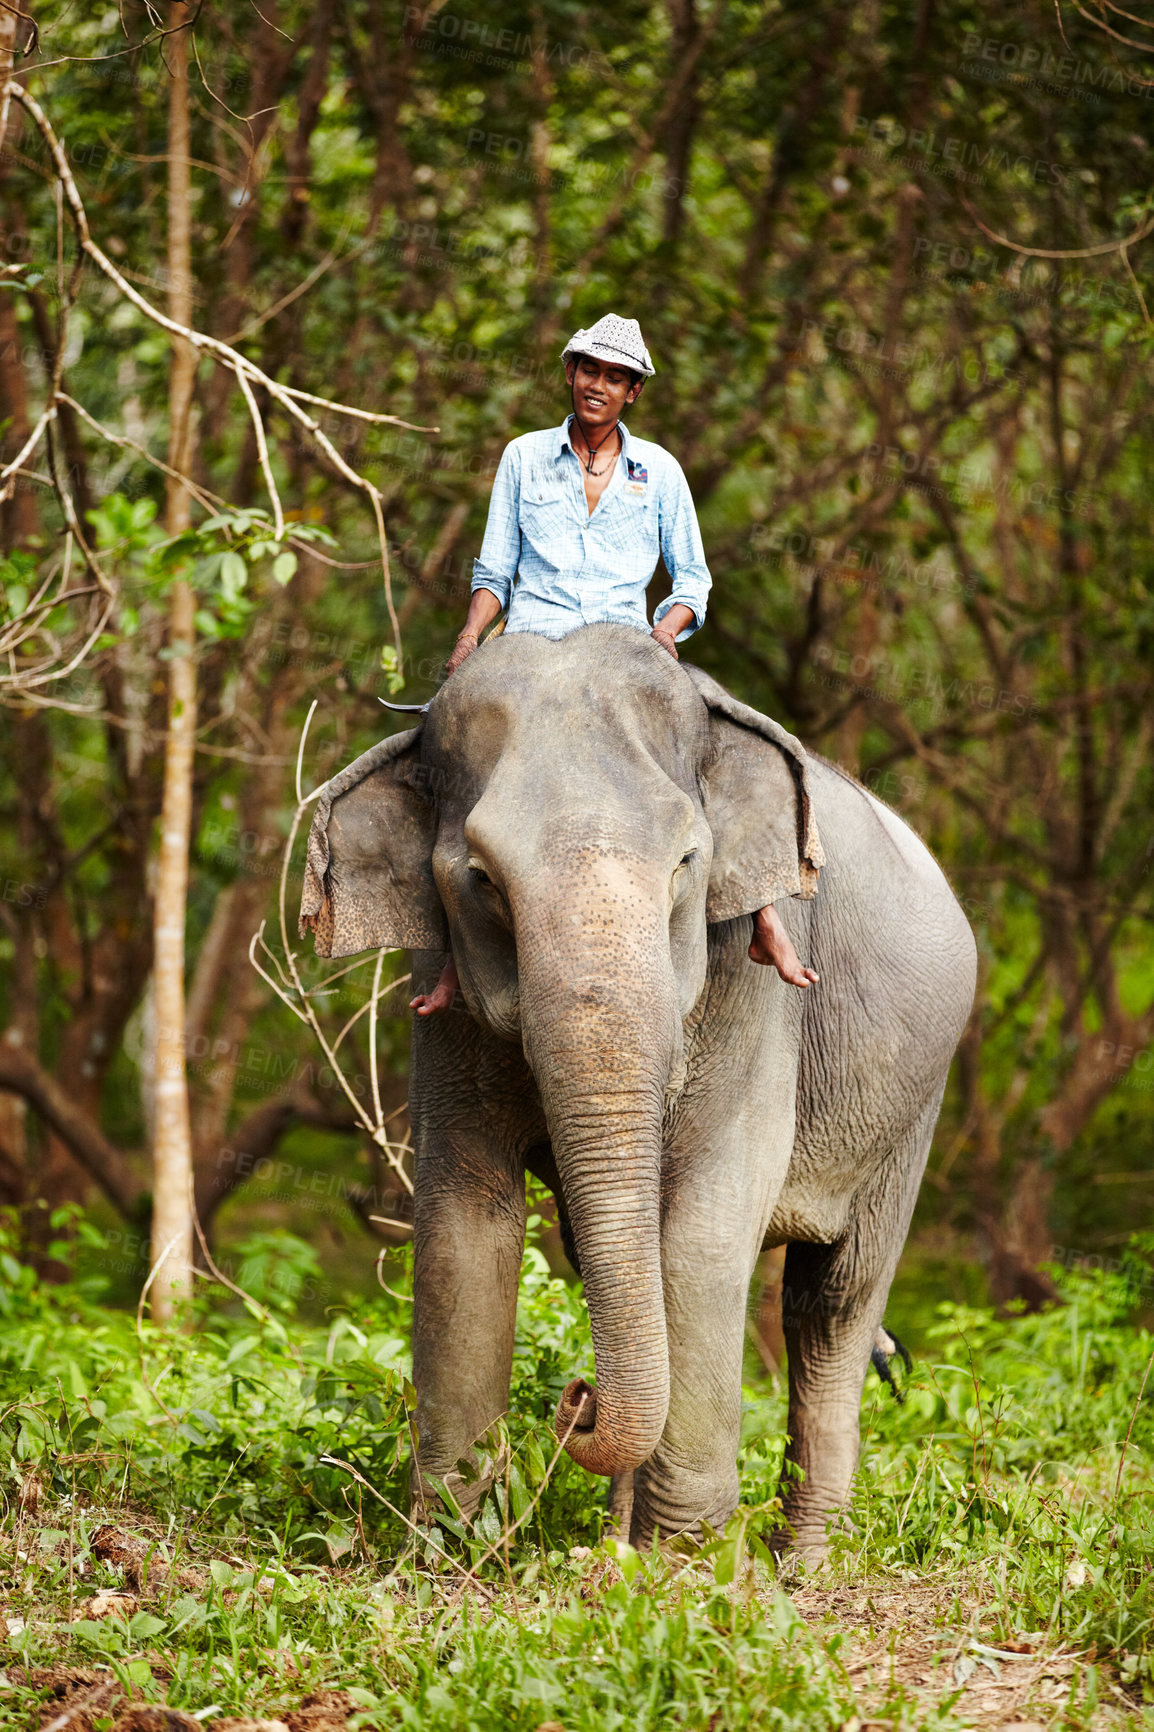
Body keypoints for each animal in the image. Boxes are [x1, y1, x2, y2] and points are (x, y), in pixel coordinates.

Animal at [296, 626, 970, 1558]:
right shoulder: (442, 997)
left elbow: (704, 1231)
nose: (575, 1402)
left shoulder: (753, 979)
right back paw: (618, 1546)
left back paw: (801, 1560)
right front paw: (450, 1550)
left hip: (914, 1105)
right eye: (482, 880)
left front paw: (686, 1563)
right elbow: (462, 1222)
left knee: (833, 1305)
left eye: (687, 861)